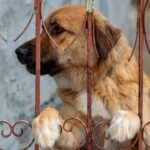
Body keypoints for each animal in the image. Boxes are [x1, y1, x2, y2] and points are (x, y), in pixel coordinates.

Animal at [15, 4, 150, 150]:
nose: (18, 52)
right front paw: (45, 127)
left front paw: (124, 121)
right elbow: (49, 111)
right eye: (42, 29)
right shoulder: (76, 136)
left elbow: (137, 115)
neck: (94, 83)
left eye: (58, 30)